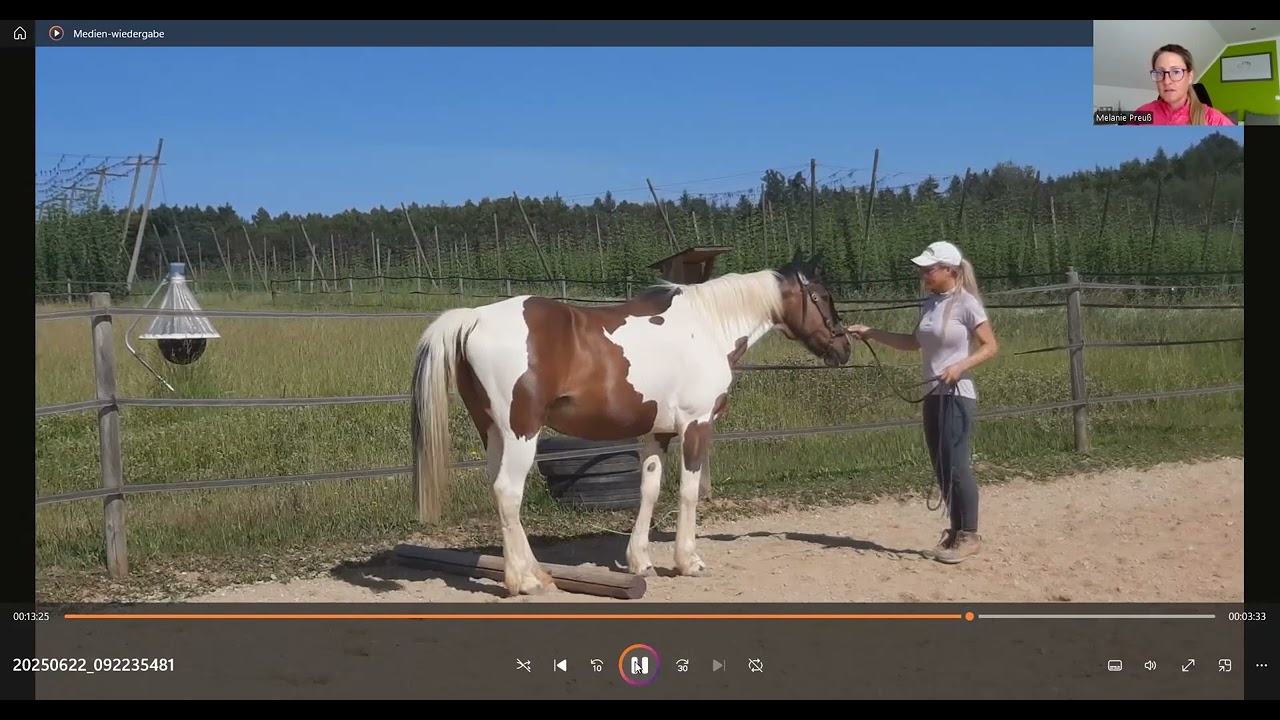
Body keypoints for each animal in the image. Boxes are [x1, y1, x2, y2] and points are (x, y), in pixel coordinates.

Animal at [409, 251, 852, 597]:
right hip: (522, 433)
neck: (708, 326)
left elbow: (649, 490)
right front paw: (688, 560)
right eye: (822, 297)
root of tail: (473, 318)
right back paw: (526, 582)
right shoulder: (696, 426)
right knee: (507, 492)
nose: (844, 347)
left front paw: (641, 562)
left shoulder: (659, 432)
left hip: (493, 434)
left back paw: (535, 574)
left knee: (500, 494)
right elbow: (688, 492)